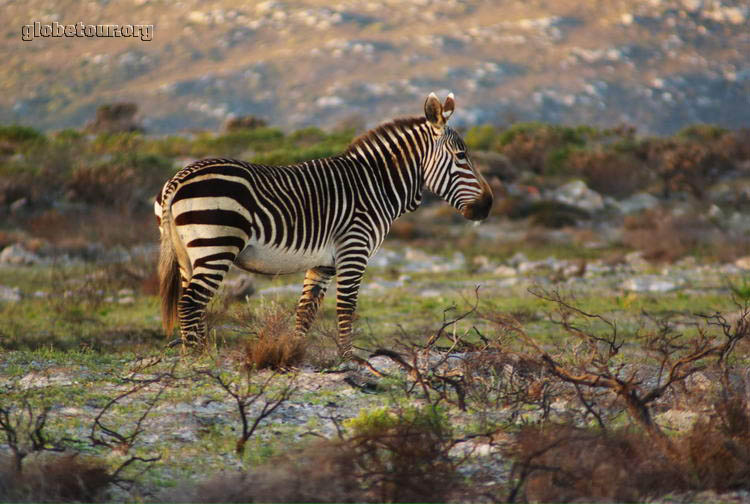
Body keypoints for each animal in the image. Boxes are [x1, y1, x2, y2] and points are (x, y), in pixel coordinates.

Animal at [154, 91, 494, 358]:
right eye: (461, 156)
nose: (488, 205)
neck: (376, 184)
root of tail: (178, 178)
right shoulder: (354, 248)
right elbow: (346, 306)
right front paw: (347, 359)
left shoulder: (323, 263)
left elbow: (306, 310)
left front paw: (294, 353)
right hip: (215, 246)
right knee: (191, 303)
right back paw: (199, 361)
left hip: (187, 254)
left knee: (188, 302)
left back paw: (194, 354)